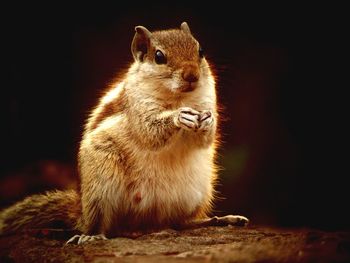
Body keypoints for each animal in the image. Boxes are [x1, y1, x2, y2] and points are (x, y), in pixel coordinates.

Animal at [0, 21, 249, 244]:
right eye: (159, 56)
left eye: (200, 51)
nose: (192, 76)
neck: (177, 97)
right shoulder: (138, 108)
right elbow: (150, 131)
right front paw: (179, 117)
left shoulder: (207, 99)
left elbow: (204, 139)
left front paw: (208, 120)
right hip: (101, 186)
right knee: (102, 224)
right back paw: (91, 236)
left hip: (199, 191)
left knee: (182, 223)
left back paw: (221, 219)